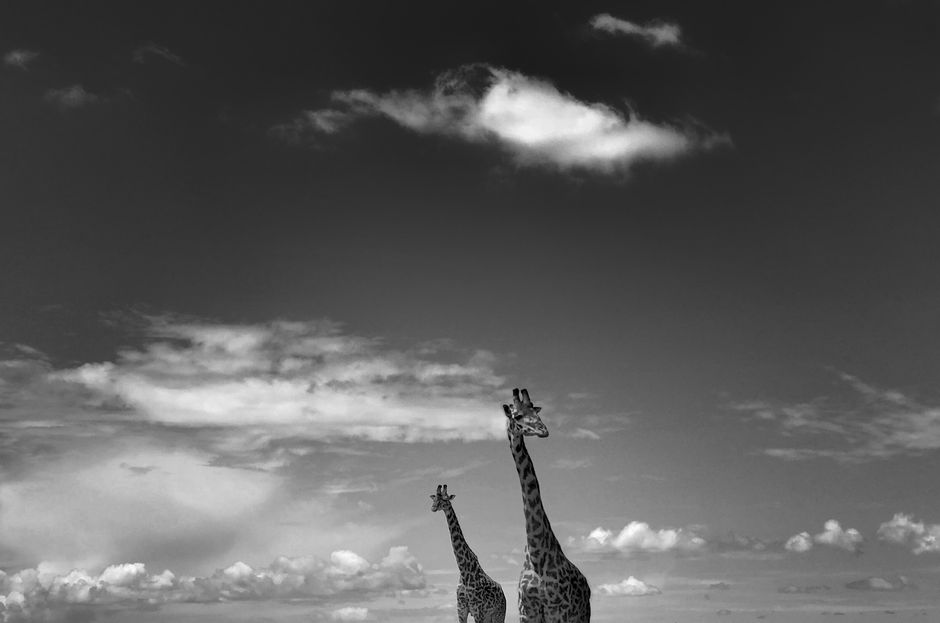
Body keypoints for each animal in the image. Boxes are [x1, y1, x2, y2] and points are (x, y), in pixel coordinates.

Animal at [431, 483, 507, 623]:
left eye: (445, 499)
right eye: (434, 498)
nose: (433, 507)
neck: (464, 571)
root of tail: (503, 594)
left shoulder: (478, 611)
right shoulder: (461, 609)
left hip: (498, 615)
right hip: (489, 617)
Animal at [503, 388, 591, 623]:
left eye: (535, 411)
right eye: (517, 416)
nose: (543, 430)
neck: (536, 554)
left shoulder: (557, 611)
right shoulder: (526, 611)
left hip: (581, 616)